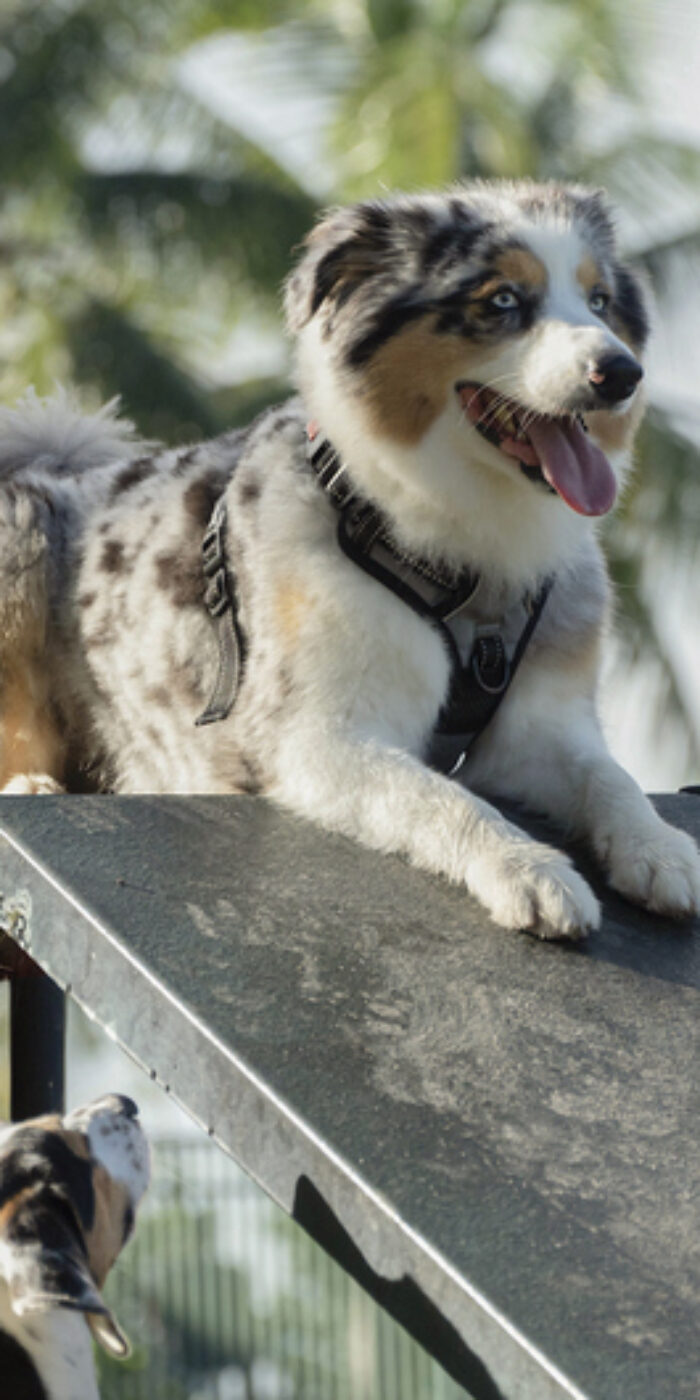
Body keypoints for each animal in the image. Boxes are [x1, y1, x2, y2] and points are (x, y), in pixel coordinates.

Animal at [1, 177, 700, 940]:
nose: (622, 373)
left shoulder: (540, 727)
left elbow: (610, 778)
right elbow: (441, 798)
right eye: (502, 300)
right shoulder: (317, 737)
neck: (466, 553)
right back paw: (30, 782)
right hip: (20, 531)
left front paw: (660, 847)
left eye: (599, 301)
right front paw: (530, 869)